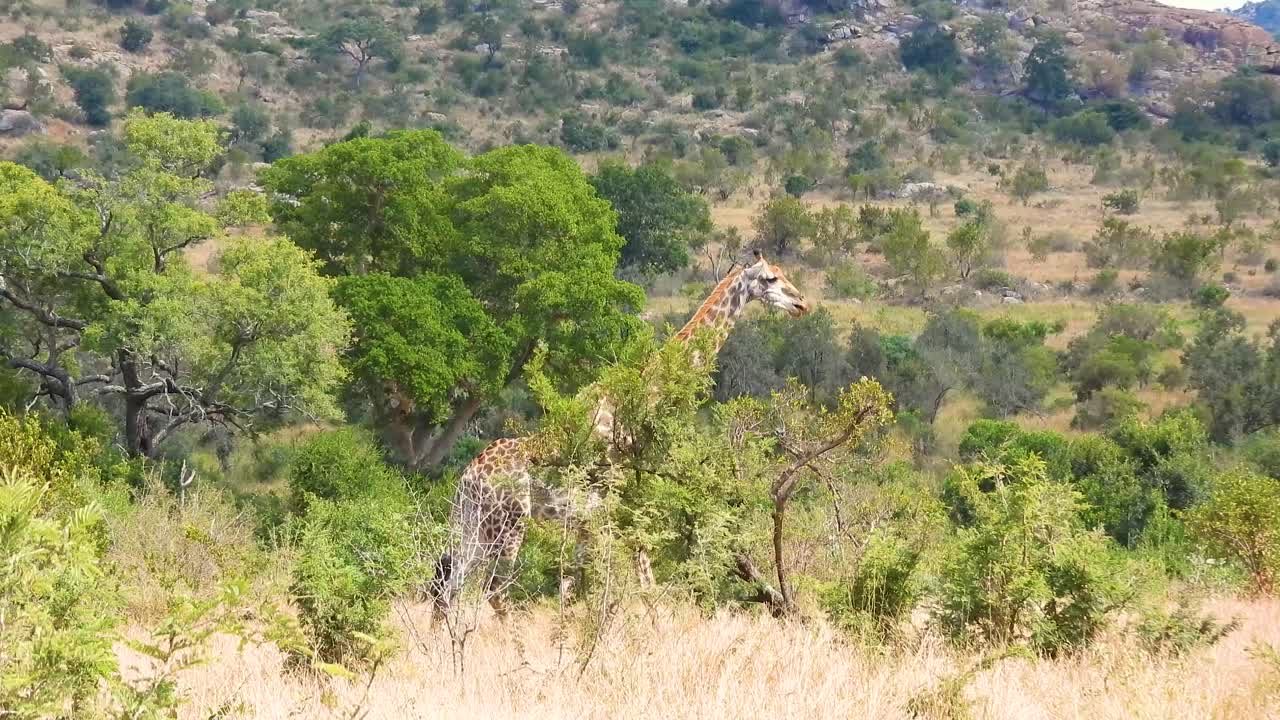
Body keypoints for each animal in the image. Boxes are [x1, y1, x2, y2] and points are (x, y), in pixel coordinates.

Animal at [429, 251, 809, 617]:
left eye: (783, 274)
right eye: (770, 278)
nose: (801, 303)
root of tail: (467, 478)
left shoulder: (589, 517)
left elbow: (571, 589)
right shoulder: (620, 501)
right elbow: (640, 581)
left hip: (475, 525)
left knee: (448, 587)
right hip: (508, 523)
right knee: (493, 591)